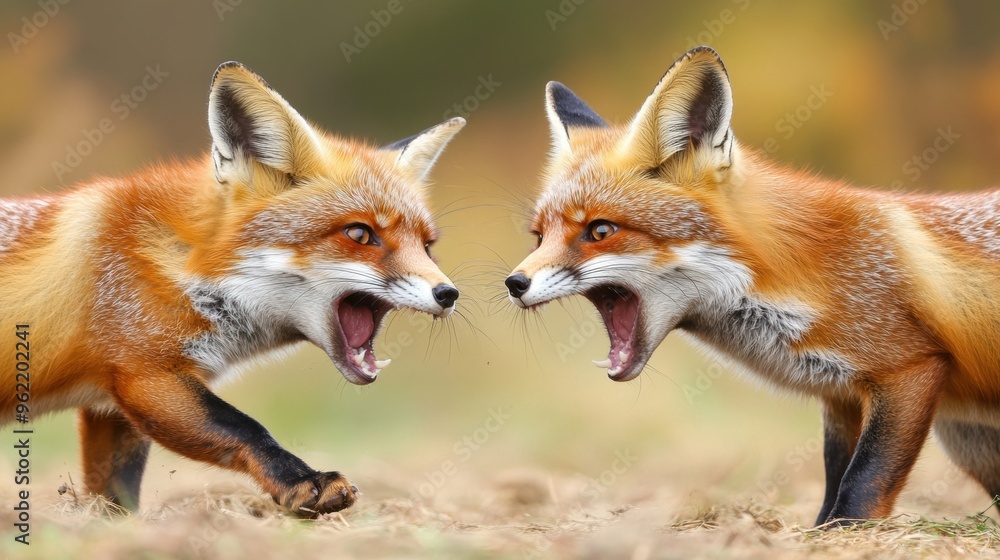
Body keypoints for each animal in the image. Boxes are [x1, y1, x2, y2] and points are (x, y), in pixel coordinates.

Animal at [0, 61, 464, 516]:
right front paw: (303, 482)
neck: (183, 263)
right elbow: (244, 426)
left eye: (427, 246)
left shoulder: (112, 405)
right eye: (360, 233)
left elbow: (117, 495)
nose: (449, 294)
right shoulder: (147, 375)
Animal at [504, 46, 1000, 525]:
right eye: (540, 236)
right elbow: (834, 476)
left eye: (600, 231)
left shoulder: (907, 370)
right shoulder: (840, 396)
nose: (514, 282)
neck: (786, 276)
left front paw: (846, 535)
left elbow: (862, 482)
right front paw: (820, 532)